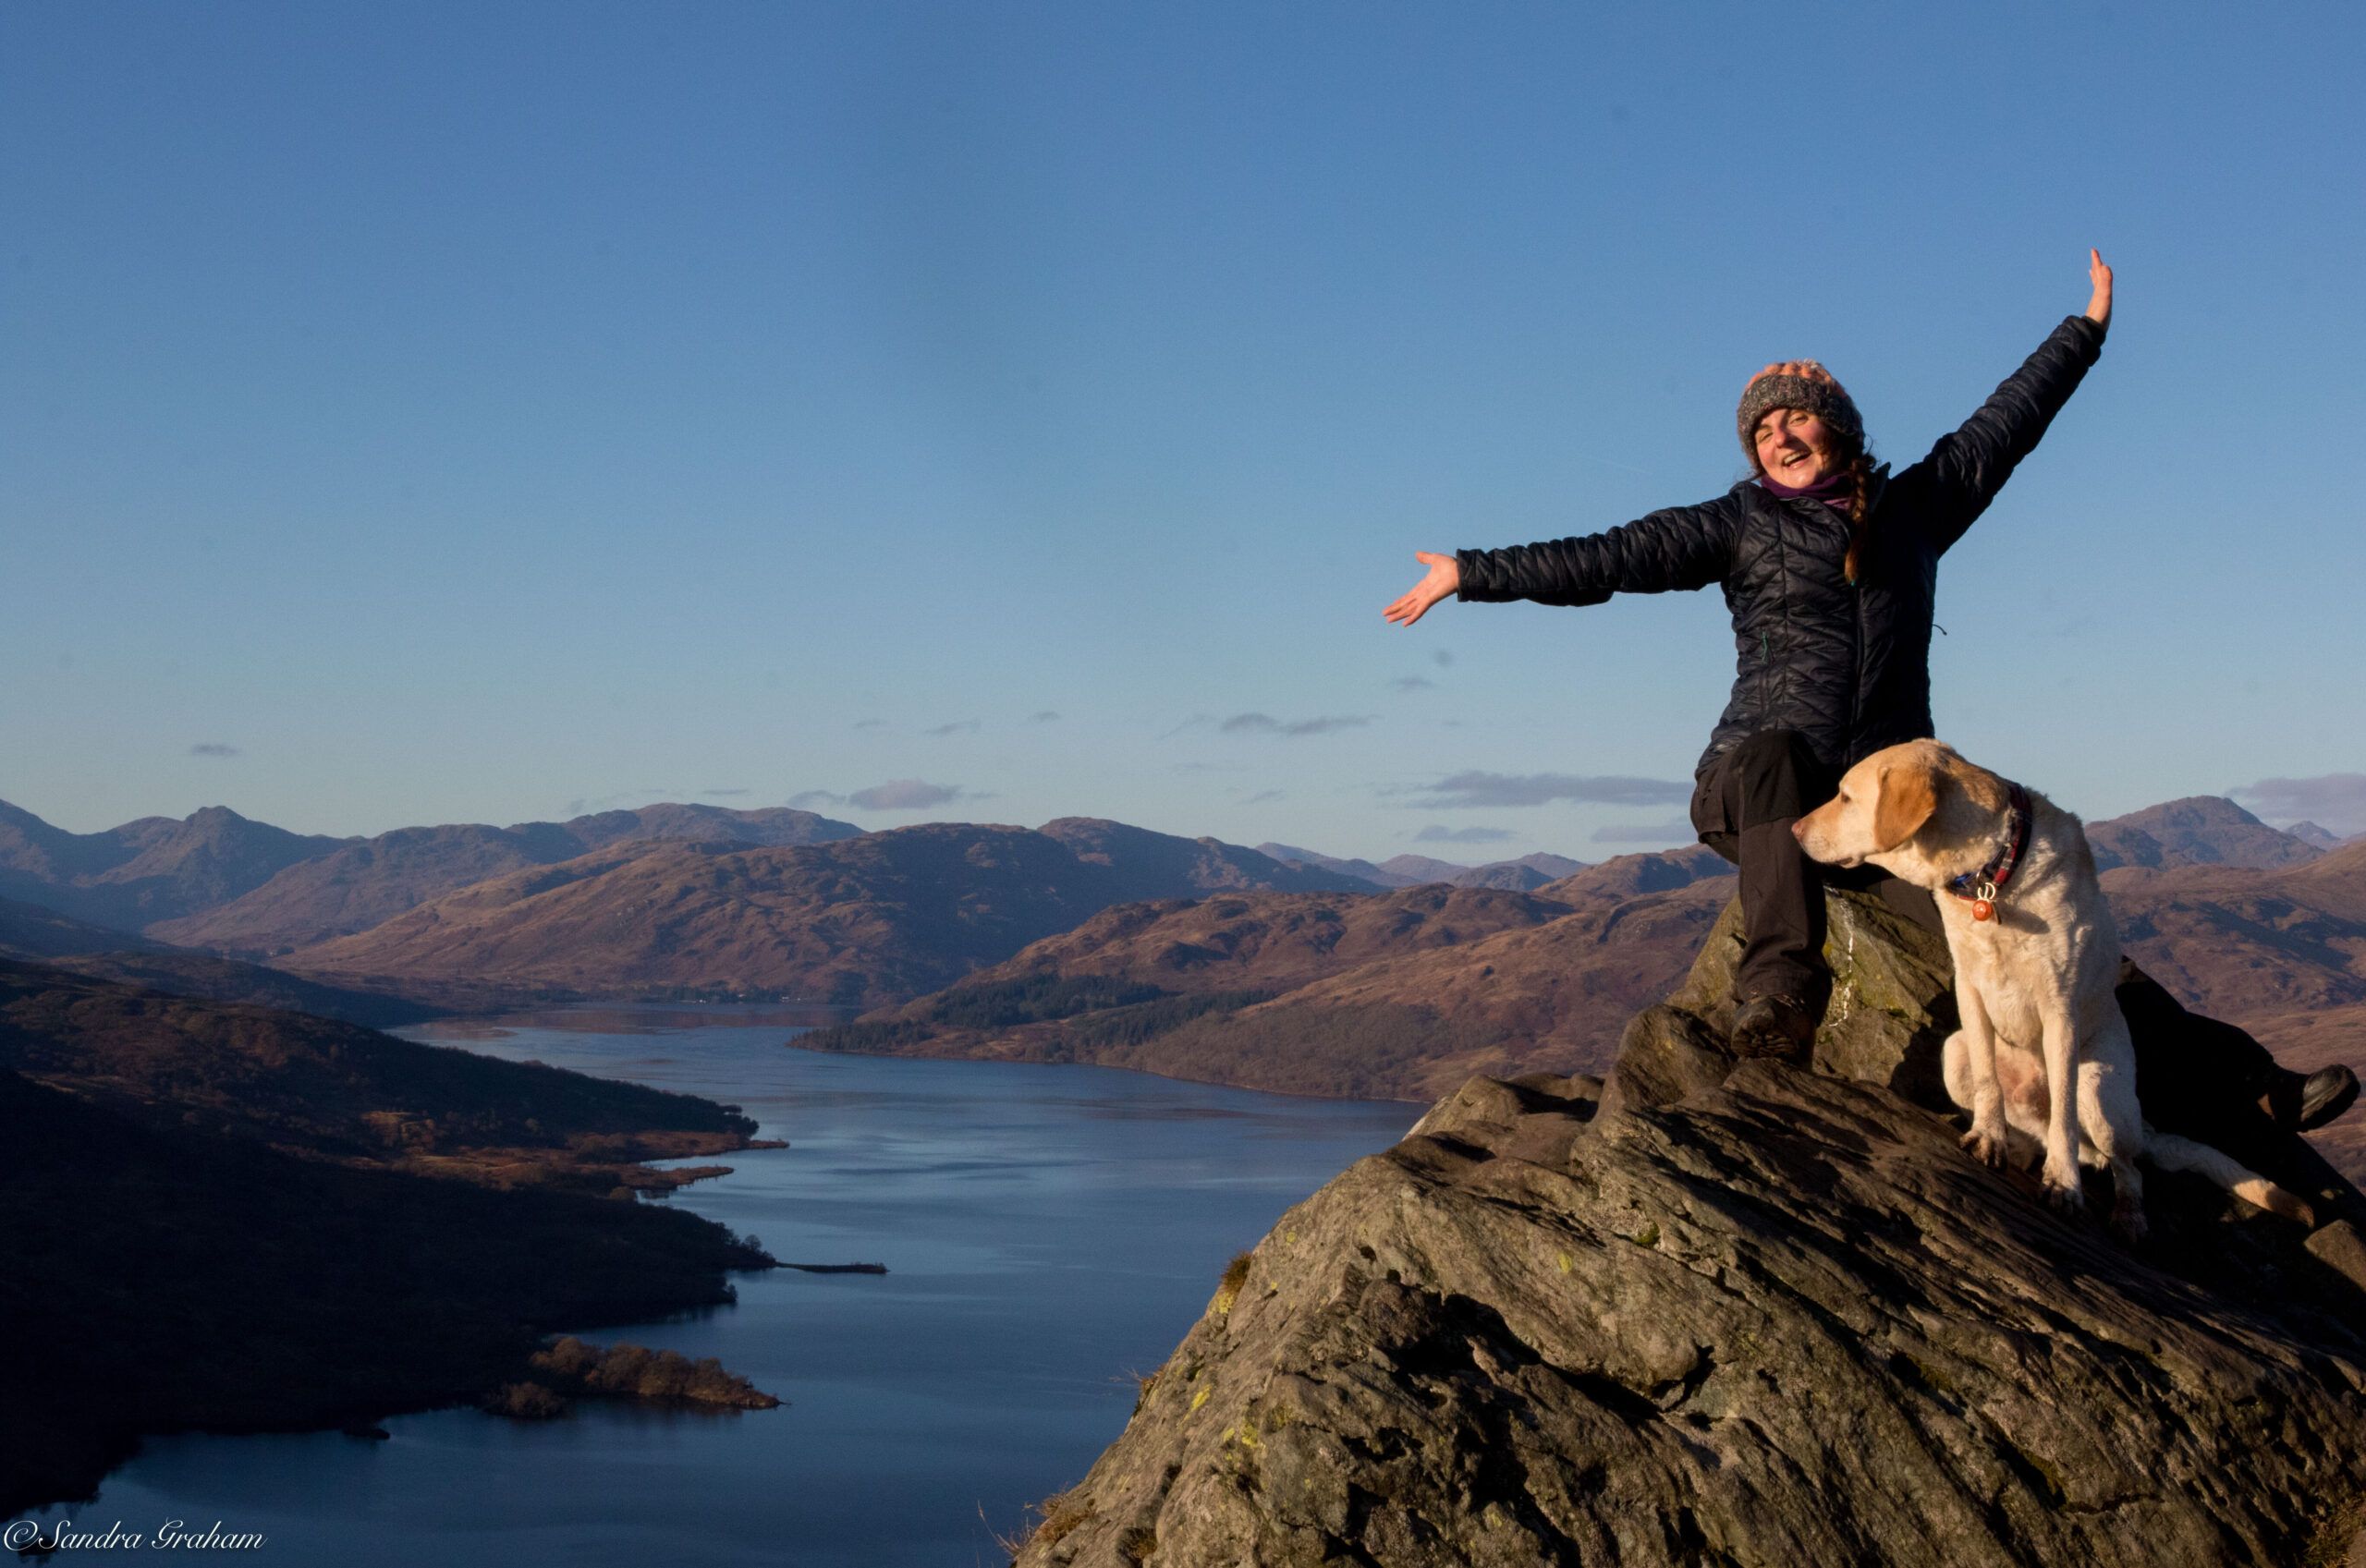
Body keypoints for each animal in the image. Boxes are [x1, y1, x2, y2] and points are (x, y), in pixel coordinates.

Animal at [1793, 739, 2311, 1240]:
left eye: (1845, 796)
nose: (1794, 829)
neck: (1993, 876)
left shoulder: (2058, 1007)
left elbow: (2063, 1116)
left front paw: (2063, 1185)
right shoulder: (1970, 989)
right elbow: (1990, 1083)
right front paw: (1989, 1136)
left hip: (2101, 1093)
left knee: (2124, 1166)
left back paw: (2127, 1214)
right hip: (1955, 1054)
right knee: (2034, 1128)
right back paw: (2016, 1146)